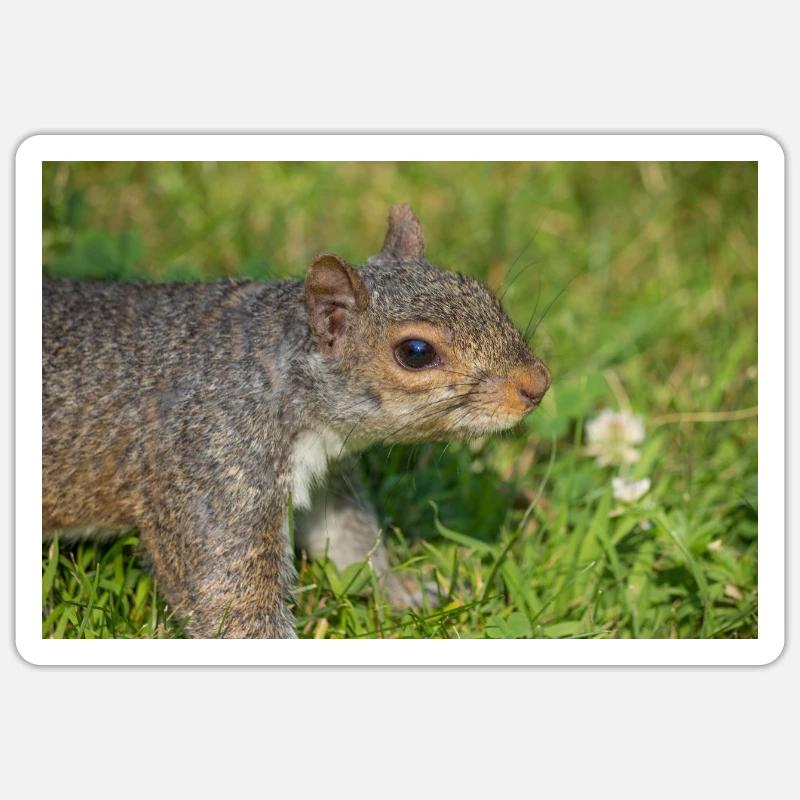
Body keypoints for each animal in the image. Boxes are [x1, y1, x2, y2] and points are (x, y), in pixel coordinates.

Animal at [42, 204, 551, 638]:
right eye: (415, 351)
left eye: (482, 292)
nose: (537, 384)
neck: (278, 373)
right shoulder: (210, 468)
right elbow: (228, 597)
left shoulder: (326, 472)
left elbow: (348, 542)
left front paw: (407, 592)